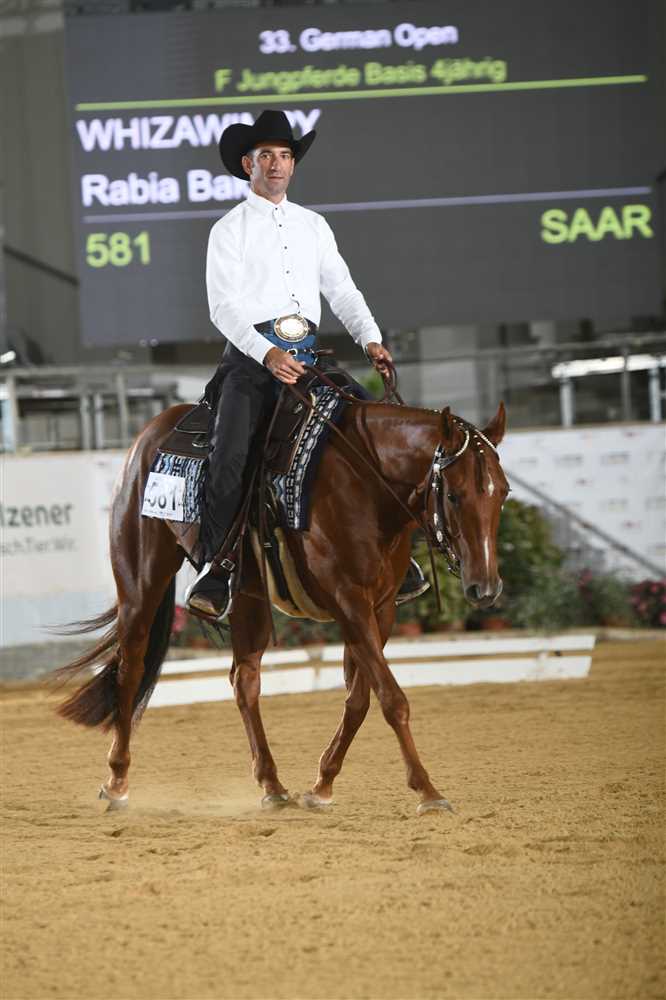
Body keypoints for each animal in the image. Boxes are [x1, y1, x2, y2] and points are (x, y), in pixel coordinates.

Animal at [55, 383, 509, 815]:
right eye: (454, 494)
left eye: (502, 492)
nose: (484, 588)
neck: (365, 483)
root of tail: (152, 432)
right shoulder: (349, 603)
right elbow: (392, 699)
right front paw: (429, 792)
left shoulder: (380, 608)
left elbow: (360, 698)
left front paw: (322, 786)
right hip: (140, 580)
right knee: (131, 669)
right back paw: (117, 782)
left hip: (247, 597)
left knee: (244, 681)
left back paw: (272, 785)